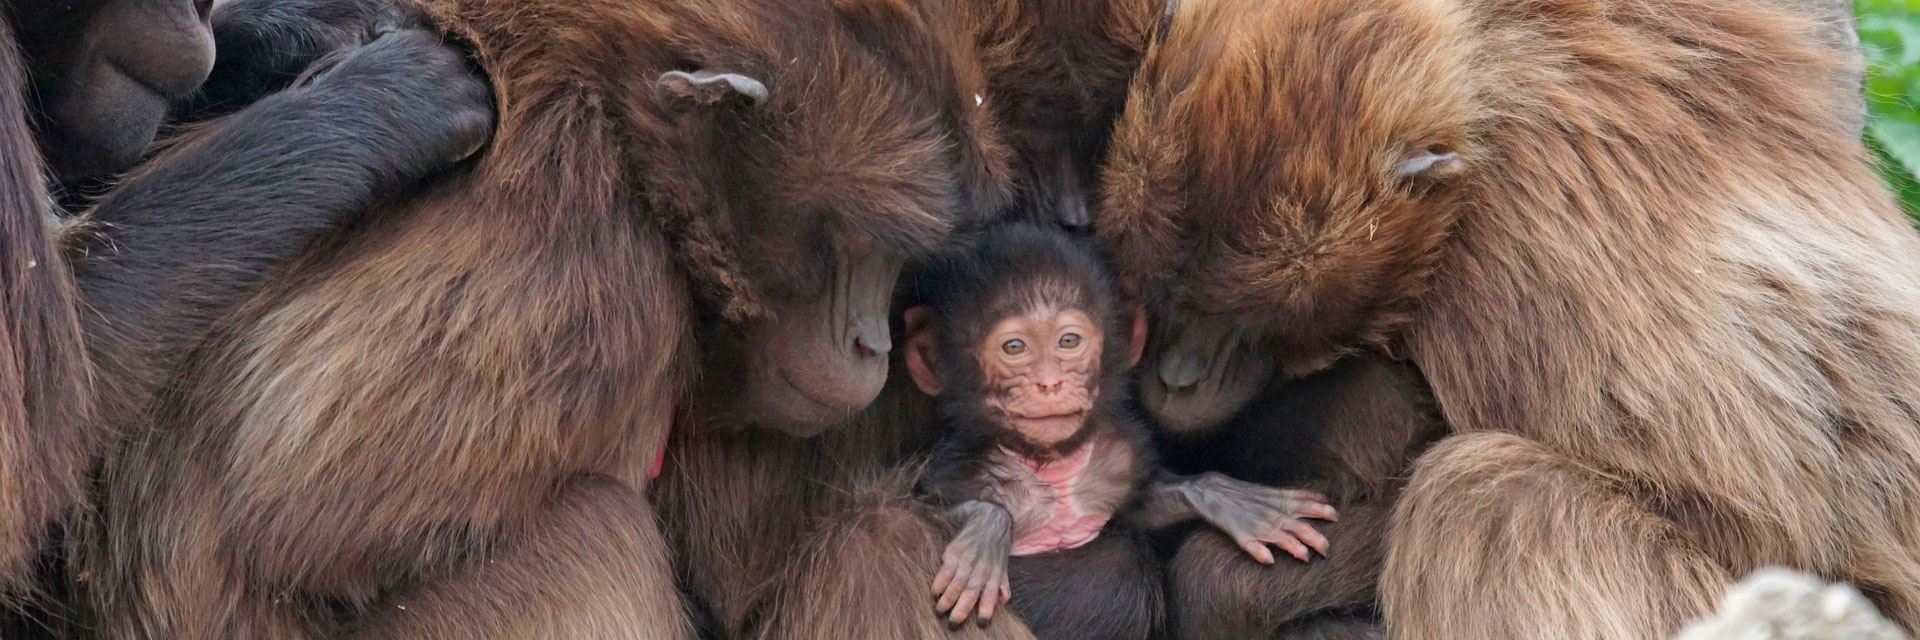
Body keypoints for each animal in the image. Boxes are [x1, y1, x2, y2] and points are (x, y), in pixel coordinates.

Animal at [78, 0, 1006, 634]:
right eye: (857, 247)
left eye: (893, 259)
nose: (871, 343)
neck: (616, 124)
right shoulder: (591, 273)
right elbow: (301, 517)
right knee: (595, 535)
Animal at [902, 222, 1336, 634]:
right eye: (1014, 348)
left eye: (1068, 341)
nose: (1049, 383)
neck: (1051, 467)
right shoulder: (957, 469)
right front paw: (984, 532)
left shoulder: (1115, 457)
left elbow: (1139, 509)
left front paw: (1227, 499)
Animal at [1098, 3, 1920, 638]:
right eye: (1166, 294)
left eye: (1249, 324)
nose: (1179, 378)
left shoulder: (1520, 256)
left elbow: (1755, 521)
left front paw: (1219, 579)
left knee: (1488, 497)